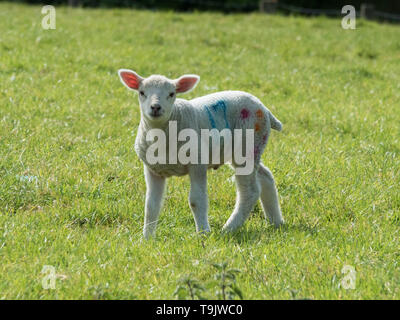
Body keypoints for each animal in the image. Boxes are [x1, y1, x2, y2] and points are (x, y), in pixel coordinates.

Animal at [117, 70, 282, 240]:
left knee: (250, 192)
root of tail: (264, 108)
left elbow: (197, 200)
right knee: (266, 175)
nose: (155, 107)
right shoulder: (153, 170)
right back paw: (275, 221)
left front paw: (203, 233)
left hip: (248, 144)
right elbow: (151, 204)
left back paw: (229, 228)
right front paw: (147, 238)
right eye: (142, 92)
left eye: (171, 93)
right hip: (248, 149)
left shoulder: (197, 163)